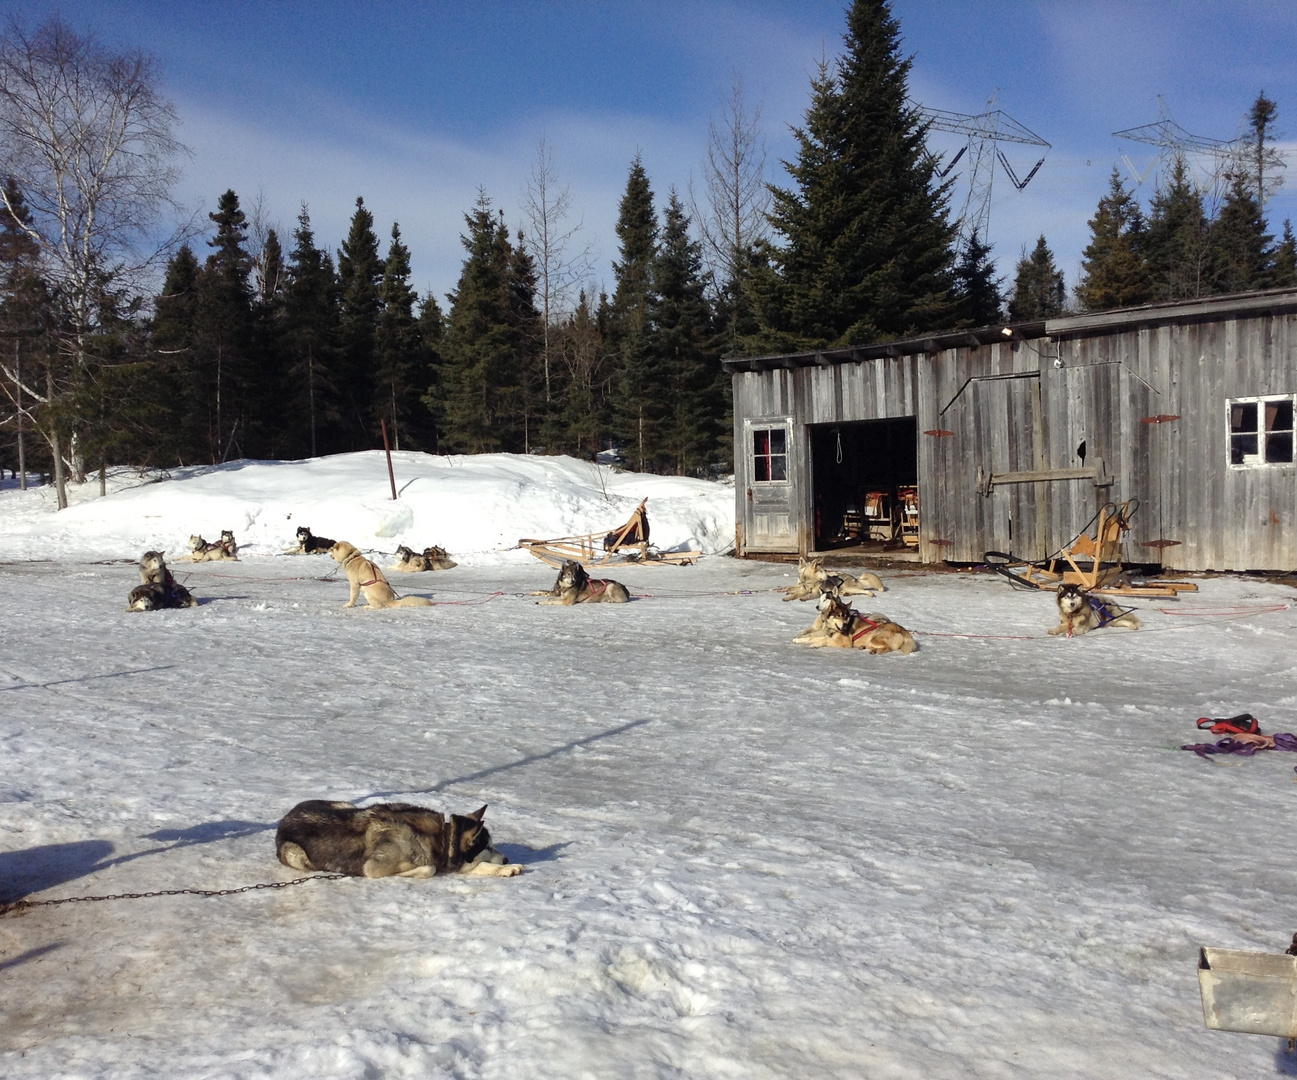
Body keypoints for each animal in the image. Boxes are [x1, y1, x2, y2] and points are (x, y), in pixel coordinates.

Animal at [274, 798, 521, 881]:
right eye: (487, 846)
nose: (507, 859)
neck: (440, 837)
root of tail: (284, 818)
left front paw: (507, 869)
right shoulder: (373, 868)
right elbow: (429, 868)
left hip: (347, 805)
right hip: (295, 854)